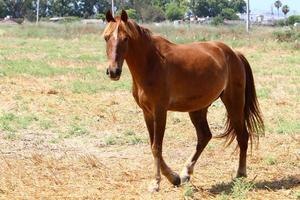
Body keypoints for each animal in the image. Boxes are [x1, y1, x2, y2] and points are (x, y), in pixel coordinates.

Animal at [102, 10, 264, 191]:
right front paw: (173, 177)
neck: (152, 62)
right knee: (204, 136)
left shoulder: (160, 111)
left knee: (242, 136)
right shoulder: (147, 112)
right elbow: (152, 145)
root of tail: (234, 53)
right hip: (198, 108)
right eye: (106, 37)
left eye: (126, 38)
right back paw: (186, 172)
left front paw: (156, 183)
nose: (113, 71)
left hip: (233, 103)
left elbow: (157, 147)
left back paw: (240, 174)